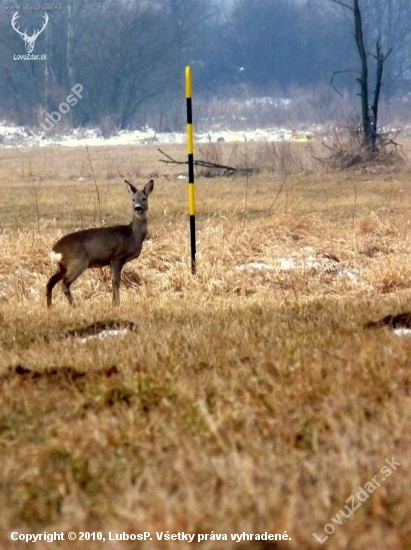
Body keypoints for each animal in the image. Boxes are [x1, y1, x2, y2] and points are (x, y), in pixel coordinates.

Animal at [45, 181, 154, 310]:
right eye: (133, 199)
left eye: (144, 198)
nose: (137, 208)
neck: (132, 235)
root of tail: (55, 251)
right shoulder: (117, 257)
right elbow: (116, 281)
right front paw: (117, 304)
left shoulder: (111, 261)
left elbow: (112, 281)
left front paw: (113, 303)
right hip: (78, 262)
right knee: (65, 283)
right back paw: (74, 306)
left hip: (62, 266)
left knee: (50, 282)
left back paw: (49, 307)